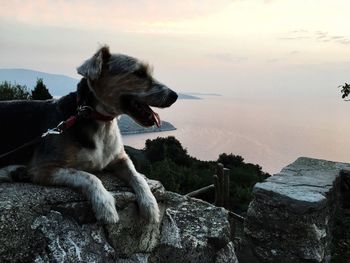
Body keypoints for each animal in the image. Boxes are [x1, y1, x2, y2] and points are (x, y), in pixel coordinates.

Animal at [0, 46, 178, 224]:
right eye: (139, 73)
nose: (174, 95)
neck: (96, 119)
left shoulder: (120, 157)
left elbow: (138, 177)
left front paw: (150, 205)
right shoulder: (43, 168)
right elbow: (89, 176)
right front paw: (105, 206)